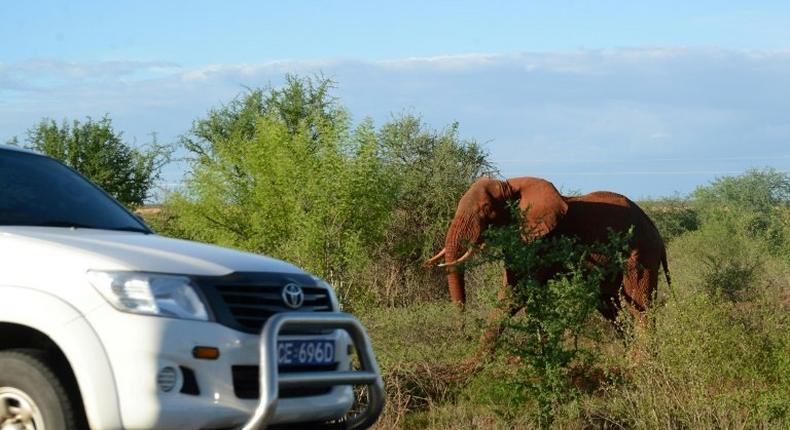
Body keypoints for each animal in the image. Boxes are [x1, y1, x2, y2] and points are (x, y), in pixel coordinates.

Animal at [424, 176, 672, 322]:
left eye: (486, 209)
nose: (462, 325)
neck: (511, 184)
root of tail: (656, 231)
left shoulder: (541, 241)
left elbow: (516, 294)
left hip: (641, 253)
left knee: (640, 308)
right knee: (610, 307)